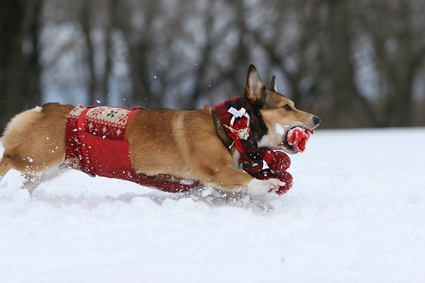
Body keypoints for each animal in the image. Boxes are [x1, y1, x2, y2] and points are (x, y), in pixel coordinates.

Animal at [0, 65, 318, 196]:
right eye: (287, 107)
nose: (316, 119)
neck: (230, 129)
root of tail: (44, 108)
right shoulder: (216, 170)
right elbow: (244, 179)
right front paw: (269, 184)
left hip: (49, 168)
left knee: (26, 182)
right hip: (37, 158)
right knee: (7, 158)